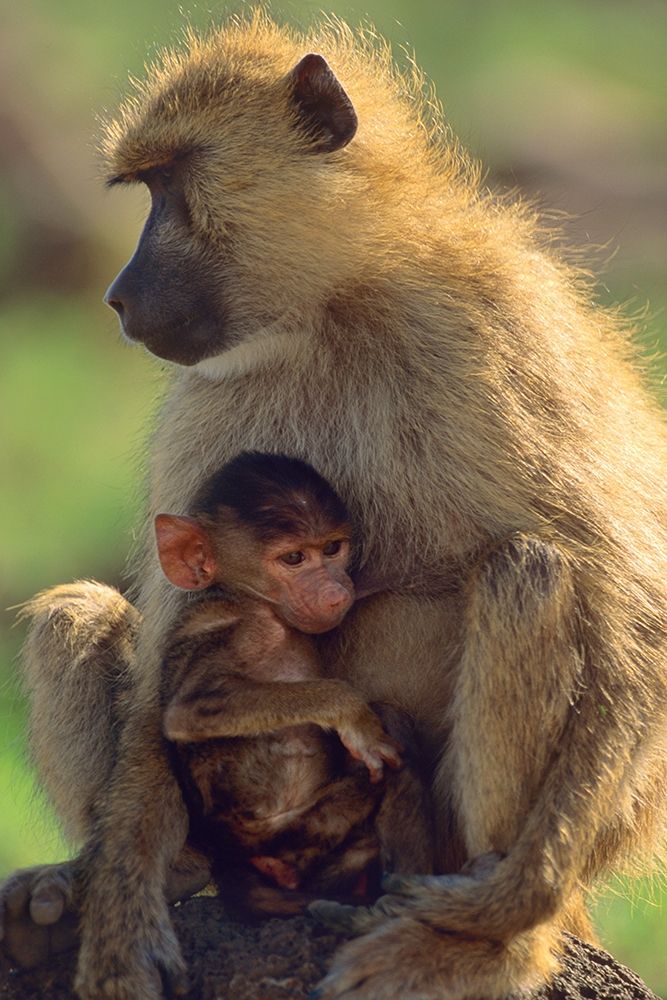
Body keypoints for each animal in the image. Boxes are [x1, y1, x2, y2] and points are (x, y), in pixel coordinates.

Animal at [156, 451, 433, 915]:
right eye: (294, 559)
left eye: (332, 548)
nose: (337, 592)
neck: (259, 604)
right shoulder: (236, 629)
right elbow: (188, 711)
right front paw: (351, 712)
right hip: (296, 832)